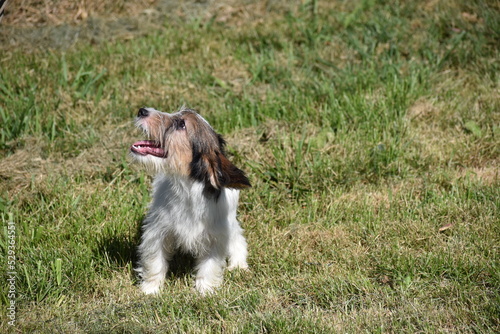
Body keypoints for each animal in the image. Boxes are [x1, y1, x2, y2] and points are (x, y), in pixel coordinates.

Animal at [131, 107, 252, 294]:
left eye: (181, 124)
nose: (142, 110)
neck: (187, 189)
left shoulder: (215, 236)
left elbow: (210, 265)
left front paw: (205, 290)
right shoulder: (157, 231)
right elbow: (155, 261)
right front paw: (151, 289)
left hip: (231, 223)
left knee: (238, 238)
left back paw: (238, 265)